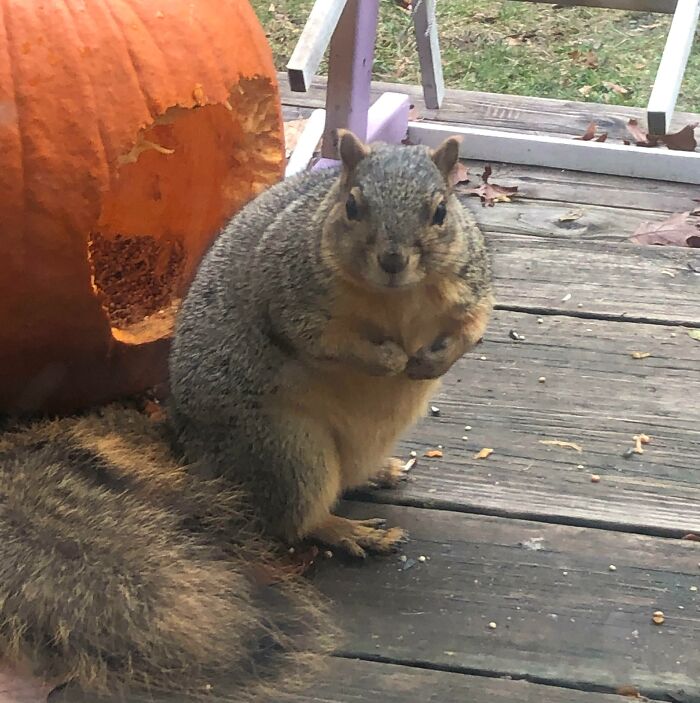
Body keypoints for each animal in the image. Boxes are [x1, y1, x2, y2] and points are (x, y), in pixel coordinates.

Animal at [0, 131, 492, 701]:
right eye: (352, 205)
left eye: (440, 211)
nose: (392, 259)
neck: (398, 298)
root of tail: (192, 452)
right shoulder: (293, 294)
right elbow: (324, 341)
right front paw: (390, 360)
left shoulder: (471, 284)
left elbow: (473, 326)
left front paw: (432, 360)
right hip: (287, 450)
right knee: (297, 519)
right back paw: (347, 530)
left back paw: (380, 473)